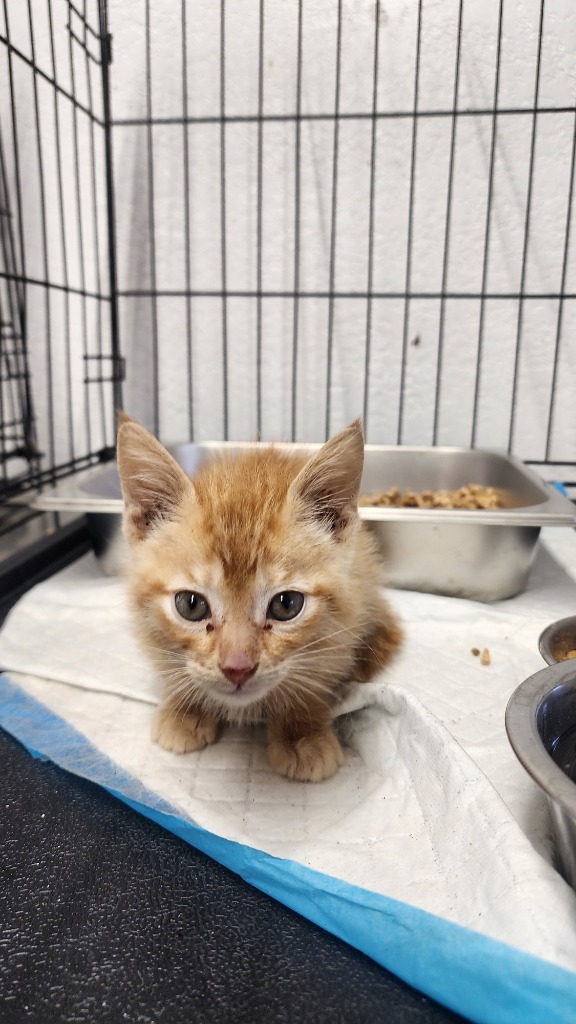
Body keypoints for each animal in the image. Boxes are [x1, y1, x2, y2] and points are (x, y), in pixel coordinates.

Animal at [117, 411, 399, 778]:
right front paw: (186, 709)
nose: (238, 669)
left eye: (287, 605)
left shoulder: (339, 632)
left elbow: (314, 679)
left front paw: (301, 732)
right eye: (190, 605)